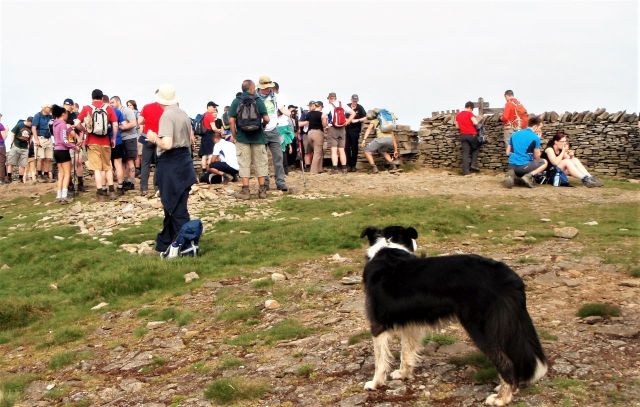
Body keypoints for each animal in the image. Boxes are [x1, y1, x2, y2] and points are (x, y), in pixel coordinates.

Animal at [360, 226, 547, 406]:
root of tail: (510, 277)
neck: (387, 247)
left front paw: (375, 383)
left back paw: (502, 398)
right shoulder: (410, 324)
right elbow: (406, 352)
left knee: (506, 362)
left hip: (481, 327)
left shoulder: (377, 324)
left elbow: (380, 360)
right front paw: (403, 374)